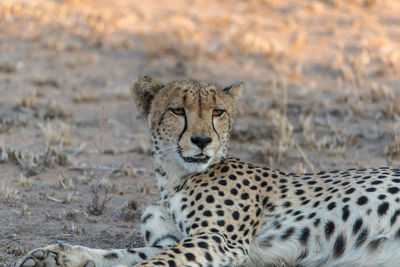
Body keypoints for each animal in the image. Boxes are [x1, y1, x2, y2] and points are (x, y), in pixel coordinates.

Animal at [19, 75, 400, 267]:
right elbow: (127, 255)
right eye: (177, 110)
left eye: (218, 111)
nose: (201, 140)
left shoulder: (220, 239)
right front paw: (56, 255)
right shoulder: (184, 238)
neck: (173, 179)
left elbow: (156, 262)